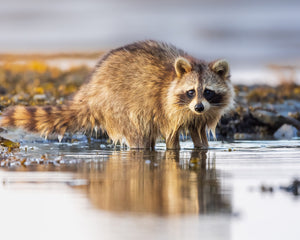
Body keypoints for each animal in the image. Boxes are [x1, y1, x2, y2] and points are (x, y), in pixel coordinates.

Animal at [0, 40, 234, 149]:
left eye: (208, 92)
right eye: (191, 91)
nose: (199, 107)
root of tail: (92, 90)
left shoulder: (202, 116)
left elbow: (199, 135)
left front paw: (203, 149)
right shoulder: (167, 109)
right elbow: (171, 137)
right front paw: (173, 149)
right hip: (119, 107)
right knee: (138, 133)